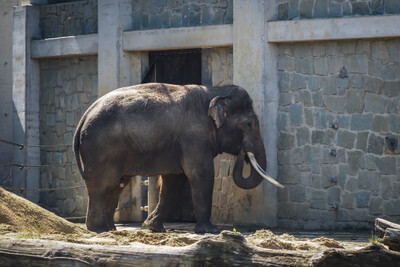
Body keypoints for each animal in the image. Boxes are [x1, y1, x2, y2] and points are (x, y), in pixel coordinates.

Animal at [72, 82, 284, 233]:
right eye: (249, 124)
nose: (242, 153)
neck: (214, 91)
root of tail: (83, 118)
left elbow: (174, 180)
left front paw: (153, 227)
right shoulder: (193, 137)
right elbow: (201, 174)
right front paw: (211, 231)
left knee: (115, 186)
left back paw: (111, 229)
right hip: (101, 150)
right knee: (103, 185)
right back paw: (99, 229)